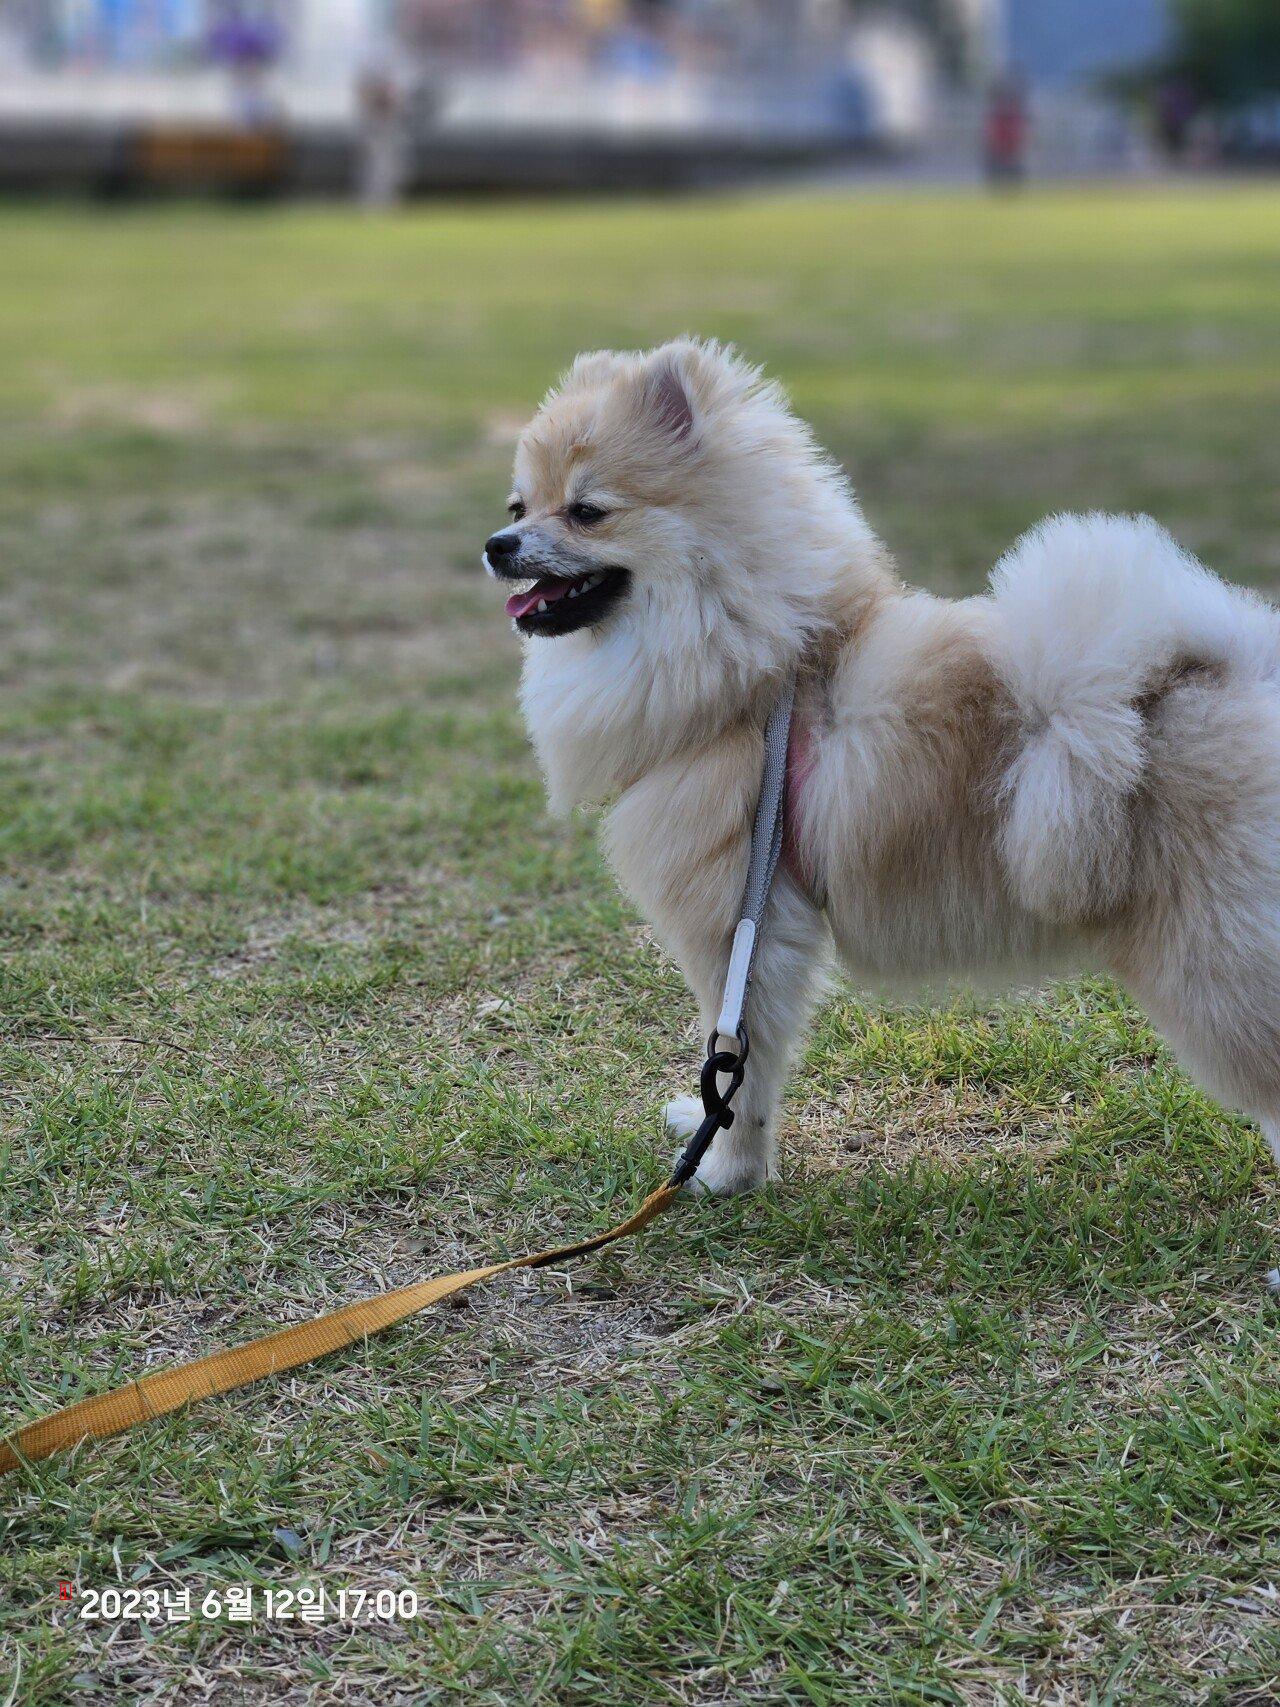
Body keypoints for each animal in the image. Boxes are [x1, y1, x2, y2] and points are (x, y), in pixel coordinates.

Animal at [484, 336, 1280, 1201]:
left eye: (587, 510)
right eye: (518, 508)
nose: (496, 547)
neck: (749, 664)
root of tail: (1236, 674)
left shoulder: (741, 927)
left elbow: (736, 1065)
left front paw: (725, 1171)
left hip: (1211, 968)